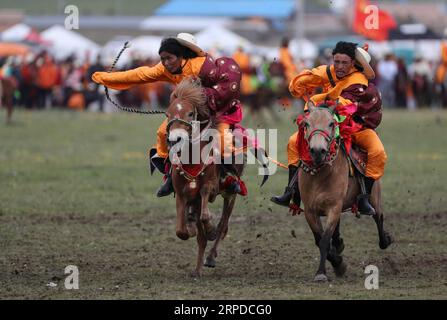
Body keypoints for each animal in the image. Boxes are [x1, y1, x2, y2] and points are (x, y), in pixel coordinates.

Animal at [165, 78, 245, 278]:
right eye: (167, 114)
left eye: (190, 113)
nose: (175, 139)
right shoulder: (182, 195)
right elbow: (182, 231)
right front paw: (191, 227)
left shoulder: (210, 189)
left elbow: (207, 217)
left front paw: (210, 229)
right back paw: (198, 268)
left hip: (230, 194)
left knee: (224, 224)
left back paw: (210, 256)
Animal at [300, 101, 394, 282]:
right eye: (306, 124)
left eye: (332, 123)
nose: (317, 151)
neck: (320, 175)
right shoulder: (310, 211)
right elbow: (319, 239)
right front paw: (337, 263)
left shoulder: (334, 207)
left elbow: (324, 240)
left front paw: (323, 272)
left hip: (374, 198)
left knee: (379, 217)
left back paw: (385, 239)